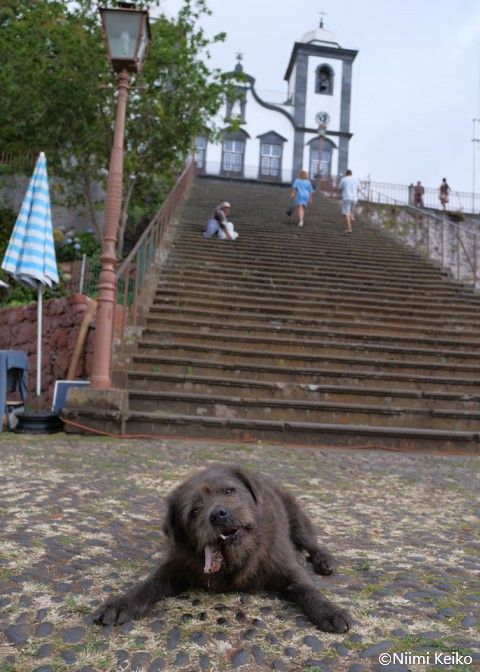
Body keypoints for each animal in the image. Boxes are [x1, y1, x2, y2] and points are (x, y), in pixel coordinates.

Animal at [93, 464, 351, 634]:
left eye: (229, 491)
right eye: (194, 511)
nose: (218, 514)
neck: (236, 556)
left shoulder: (284, 566)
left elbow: (306, 588)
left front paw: (329, 610)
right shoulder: (177, 566)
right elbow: (149, 583)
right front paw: (122, 603)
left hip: (298, 522)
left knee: (311, 543)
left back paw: (323, 560)